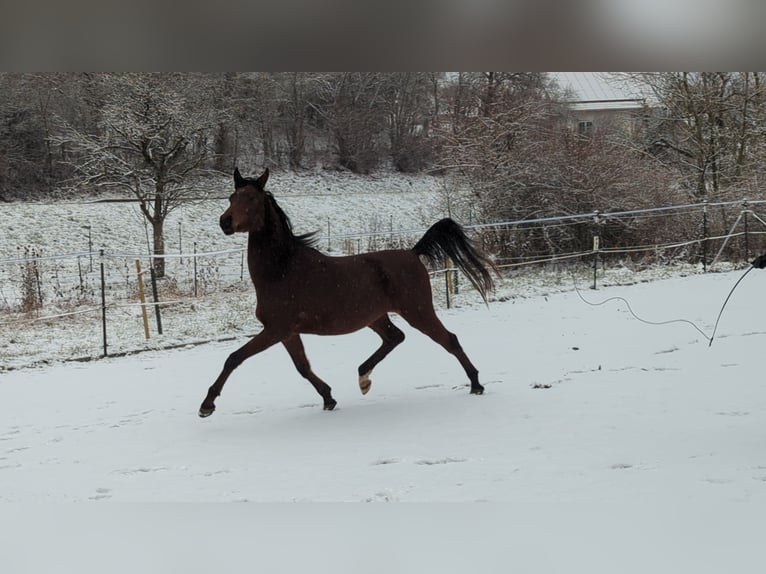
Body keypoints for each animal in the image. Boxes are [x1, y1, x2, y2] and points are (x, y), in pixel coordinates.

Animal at [200, 168, 498, 418]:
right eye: (231, 197)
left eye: (251, 198)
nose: (225, 222)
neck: (282, 269)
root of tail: (413, 253)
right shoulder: (287, 332)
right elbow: (303, 367)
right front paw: (328, 398)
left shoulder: (276, 329)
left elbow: (234, 358)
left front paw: (207, 405)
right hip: (376, 316)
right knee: (395, 337)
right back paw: (363, 377)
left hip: (418, 311)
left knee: (449, 340)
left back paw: (476, 384)